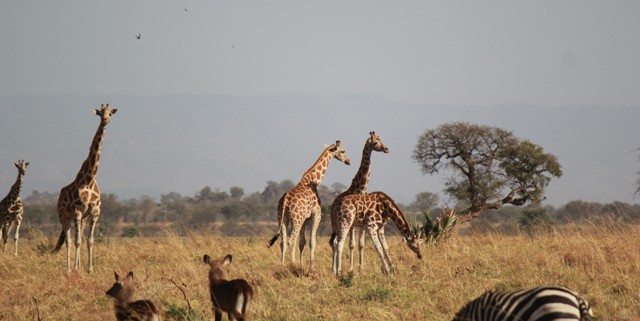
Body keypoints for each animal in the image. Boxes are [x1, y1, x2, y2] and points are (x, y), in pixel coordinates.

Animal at [51, 104, 117, 272]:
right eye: (100, 113)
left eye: (110, 113)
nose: (105, 121)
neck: (88, 179)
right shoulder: (77, 210)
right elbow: (77, 241)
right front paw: (75, 268)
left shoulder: (94, 212)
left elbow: (89, 240)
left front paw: (89, 269)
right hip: (64, 216)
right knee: (69, 240)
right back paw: (69, 269)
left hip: (81, 218)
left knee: (77, 236)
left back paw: (78, 266)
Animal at [266, 140, 350, 270]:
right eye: (342, 151)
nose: (348, 161)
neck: (314, 181)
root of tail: (285, 201)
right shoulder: (316, 215)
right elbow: (312, 242)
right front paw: (311, 267)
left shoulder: (305, 219)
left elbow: (302, 242)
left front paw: (302, 264)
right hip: (296, 220)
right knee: (291, 241)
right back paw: (293, 264)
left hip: (282, 219)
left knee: (283, 242)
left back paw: (283, 265)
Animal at [330, 131, 390, 272]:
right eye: (375, 142)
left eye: (381, 139)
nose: (386, 149)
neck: (361, 189)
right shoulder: (353, 224)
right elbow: (351, 245)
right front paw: (351, 268)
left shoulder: (362, 224)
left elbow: (361, 245)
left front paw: (361, 268)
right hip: (336, 224)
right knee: (335, 243)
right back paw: (334, 269)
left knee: (336, 242)